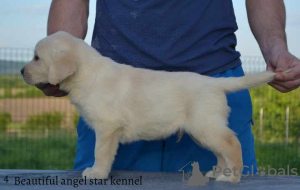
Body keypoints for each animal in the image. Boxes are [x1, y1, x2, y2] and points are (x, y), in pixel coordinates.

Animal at [21, 31, 276, 183]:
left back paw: (231, 178)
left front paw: (97, 173)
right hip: (203, 130)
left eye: (37, 58)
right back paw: (219, 172)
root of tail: (215, 83)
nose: (22, 71)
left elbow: (100, 153)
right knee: (220, 150)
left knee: (232, 144)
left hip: (206, 126)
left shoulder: (107, 128)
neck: (87, 73)